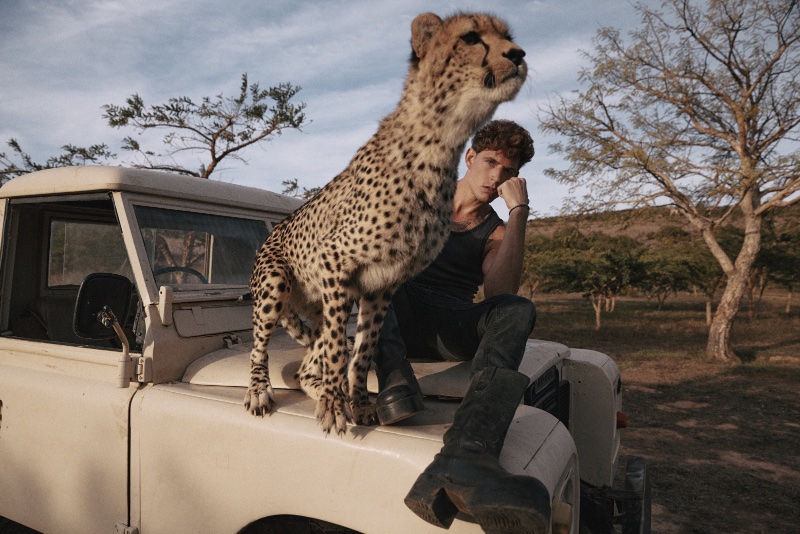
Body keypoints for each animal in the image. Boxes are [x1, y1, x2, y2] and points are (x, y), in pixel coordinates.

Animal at [247, 11, 528, 436]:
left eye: (507, 35)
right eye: (471, 38)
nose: (518, 54)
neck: (440, 144)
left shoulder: (382, 284)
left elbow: (363, 350)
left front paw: (360, 405)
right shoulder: (335, 261)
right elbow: (338, 348)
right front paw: (337, 406)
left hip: (323, 304)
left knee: (308, 361)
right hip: (277, 285)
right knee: (261, 345)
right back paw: (261, 391)